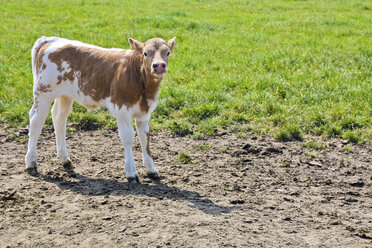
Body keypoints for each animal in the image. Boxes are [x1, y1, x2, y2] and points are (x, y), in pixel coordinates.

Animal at [25, 35, 177, 182]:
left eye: (167, 53)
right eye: (145, 53)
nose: (159, 66)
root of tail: (51, 39)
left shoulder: (144, 112)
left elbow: (145, 138)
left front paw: (151, 170)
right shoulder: (121, 110)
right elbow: (128, 137)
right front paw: (131, 172)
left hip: (65, 95)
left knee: (59, 118)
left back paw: (65, 159)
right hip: (43, 92)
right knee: (36, 121)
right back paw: (31, 162)